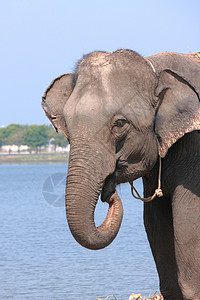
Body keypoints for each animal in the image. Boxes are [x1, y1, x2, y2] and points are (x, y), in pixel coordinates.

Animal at [41, 50, 199, 298]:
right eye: (67, 124)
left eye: (120, 123)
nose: (109, 193)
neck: (154, 67)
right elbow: (155, 223)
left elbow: (189, 223)